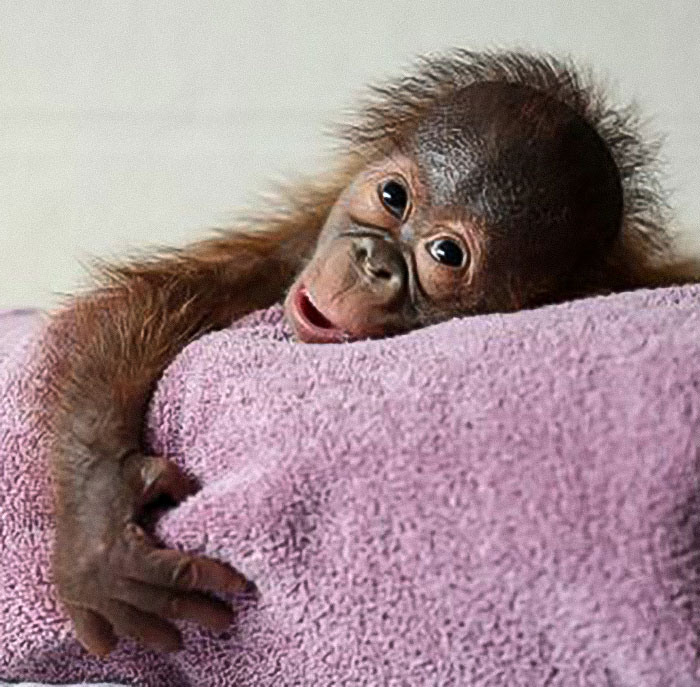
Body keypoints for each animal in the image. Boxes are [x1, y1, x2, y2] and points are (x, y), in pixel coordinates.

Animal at [47, 49, 697, 657]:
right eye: (392, 196)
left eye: (446, 254)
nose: (372, 261)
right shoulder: (295, 253)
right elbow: (166, 296)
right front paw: (101, 526)